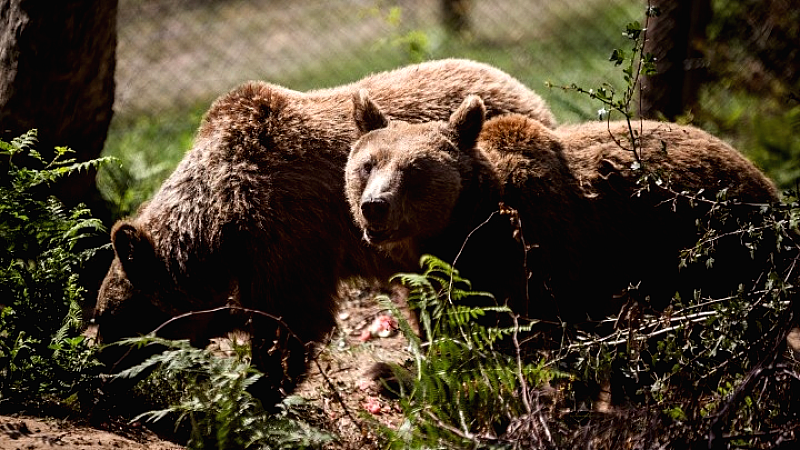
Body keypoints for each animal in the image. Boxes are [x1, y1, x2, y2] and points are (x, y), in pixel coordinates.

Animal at [92, 58, 556, 406]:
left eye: (110, 316)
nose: (100, 376)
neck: (223, 219)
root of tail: (523, 90)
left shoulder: (286, 232)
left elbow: (290, 322)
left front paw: (258, 390)